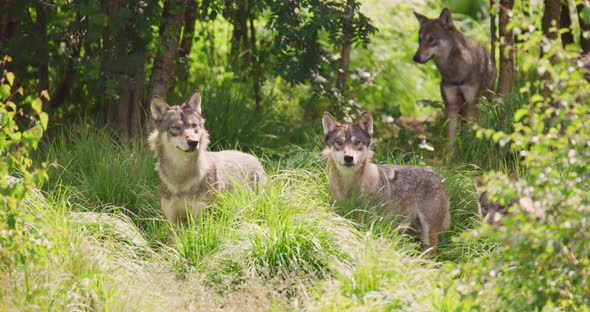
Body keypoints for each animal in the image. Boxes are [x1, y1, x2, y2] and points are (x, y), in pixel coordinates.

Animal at [149, 89, 268, 230]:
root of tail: (254, 157)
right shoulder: (173, 222)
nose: (193, 142)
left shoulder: (200, 219)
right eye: (176, 127)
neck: (180, 179)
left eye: (194, 125)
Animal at [322, 112, 450, 251]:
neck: (349, 186)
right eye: (339, 142)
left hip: (428, 233)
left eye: (357, 142)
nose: (349, 158)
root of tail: (437, 176)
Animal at [414, 8, 498, 152]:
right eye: (419, 40)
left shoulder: (472, 103)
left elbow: (471, 132)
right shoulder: (451, 105)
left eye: (431, 39)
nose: (415, 57)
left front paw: (469, 151)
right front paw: (449, 157)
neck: (454, 72)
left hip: (483, 101)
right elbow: (450, 138)